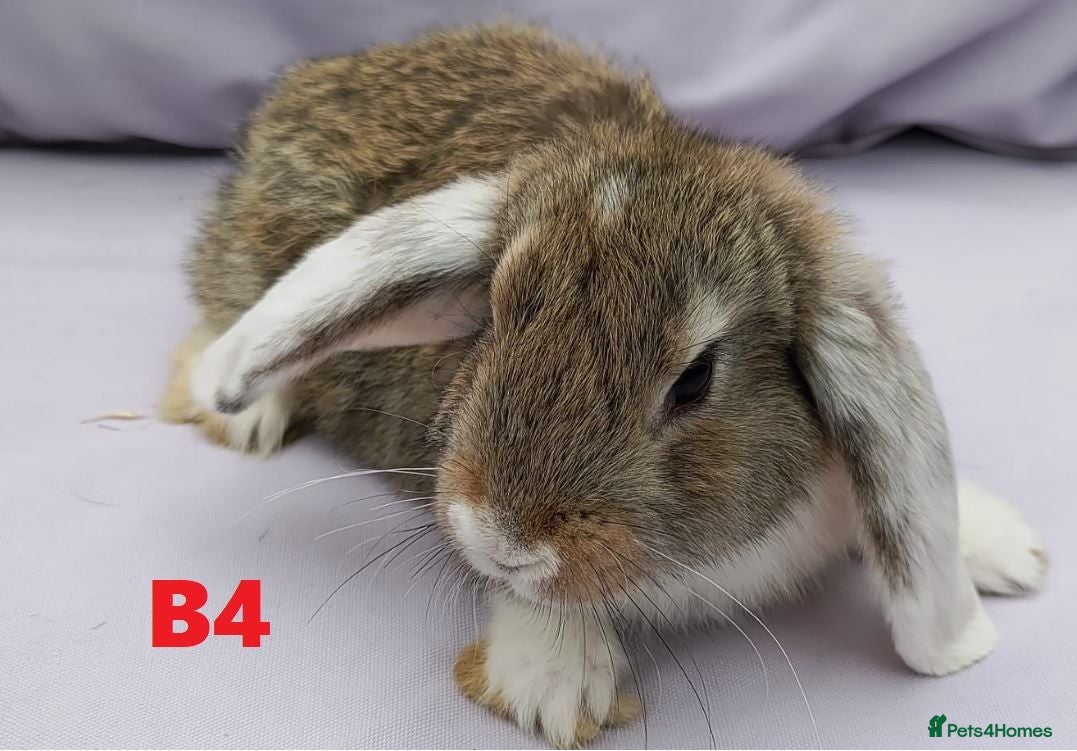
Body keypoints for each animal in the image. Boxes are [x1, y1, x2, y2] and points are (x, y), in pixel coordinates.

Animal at [160, 23, 1048, 748]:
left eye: (694, 379)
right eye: (493, 314)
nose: (503, 538)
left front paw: (1007, 549)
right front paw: (555, 682)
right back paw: (243, 408)